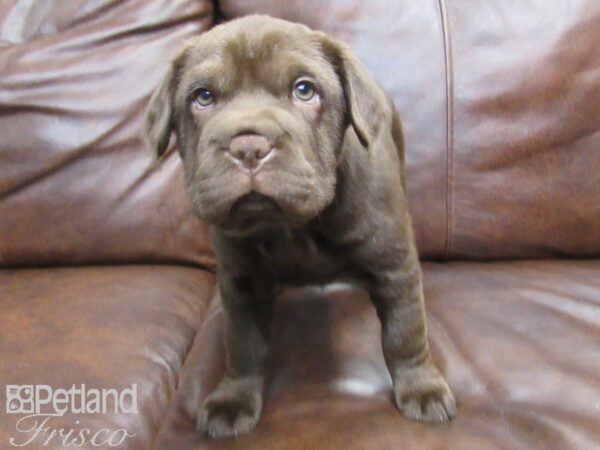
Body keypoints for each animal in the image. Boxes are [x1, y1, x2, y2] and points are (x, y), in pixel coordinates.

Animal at [144, 14, 454, 440]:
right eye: (203, 97)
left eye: (304, 90)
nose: (249, 147)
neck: (293, 226)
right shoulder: (242, 282)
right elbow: (243, 345)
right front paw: (233, 400)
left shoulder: (393, 266)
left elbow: (404, 333)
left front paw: (422, 388)